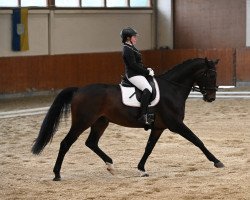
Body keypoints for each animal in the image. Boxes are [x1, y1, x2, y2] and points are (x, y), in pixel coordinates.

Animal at [31, 57, 225, 180]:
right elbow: (197, 140)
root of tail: (79, 90)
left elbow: (149, 148)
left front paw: (141, 169)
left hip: (100, 122)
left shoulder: (158, 127)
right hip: (82, 122)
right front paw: (217, 161)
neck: (172, 89)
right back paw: (57, 174)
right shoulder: (176, 124)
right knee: (66, 143)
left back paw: (110, 165)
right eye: (209, 75)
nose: (211, 98)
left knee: (91, 143)